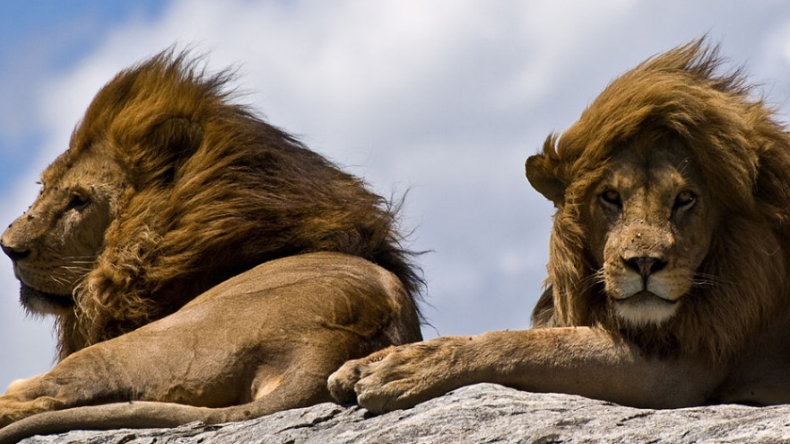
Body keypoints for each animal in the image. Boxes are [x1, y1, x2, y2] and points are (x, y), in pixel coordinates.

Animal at [0, 50, 422, 442]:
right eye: (43, 188)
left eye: (79, 200)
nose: (8, 248)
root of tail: (323, 350)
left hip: (145, 345)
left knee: (45, 392)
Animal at [328, 39, 790, 414]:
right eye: (610, 197)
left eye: (685, 199)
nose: (643, 264)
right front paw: (364, 364)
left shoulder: (681, 368)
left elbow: (531, 344)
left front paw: (407, 369)